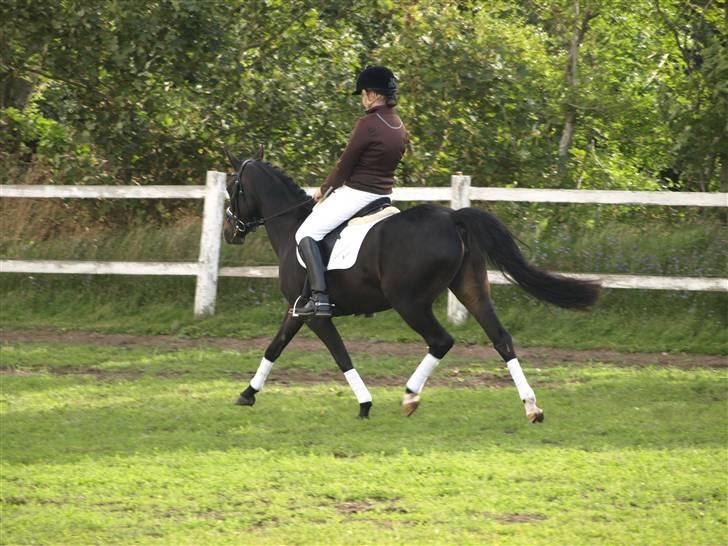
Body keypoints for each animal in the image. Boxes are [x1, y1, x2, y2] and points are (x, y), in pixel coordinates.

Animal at [225, 147, 600, 422]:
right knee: (501, 339)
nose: (230, 233)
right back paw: (531, 407)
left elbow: (340, 354)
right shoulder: (295, 310)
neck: (292, 228)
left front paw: (365, 404)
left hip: (409, 302)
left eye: (232, 188)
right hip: (471, 290)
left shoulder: (315, 315)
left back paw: (409, 396)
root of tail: (452, 216)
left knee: (441, 340)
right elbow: (274, 347)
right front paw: (247, 394)